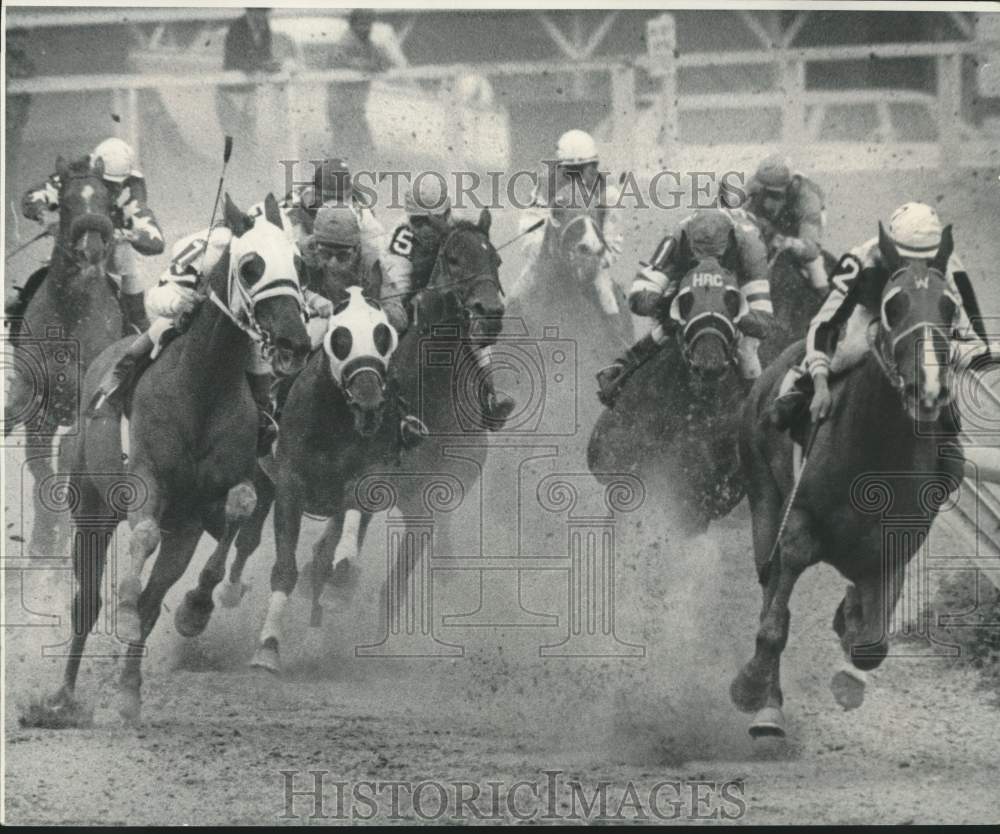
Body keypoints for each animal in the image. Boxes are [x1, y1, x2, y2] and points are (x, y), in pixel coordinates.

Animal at [4, 156, 117, 560]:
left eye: (106, 202)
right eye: (65, 203)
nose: (92, 250)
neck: (72, 315)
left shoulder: (87, 402)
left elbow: (68, 455)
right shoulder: (37, 403)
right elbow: (39, 463)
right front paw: (45, 536)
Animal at [35, 192, 310, 720]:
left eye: (299, 264)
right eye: (251, 266)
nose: (295, 342)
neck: (202, 384)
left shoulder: (209, 501)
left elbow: (240, 508)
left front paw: (195, 608)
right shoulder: (144, 478)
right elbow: (139, 541)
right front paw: (124, 610)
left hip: (178, 531)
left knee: (152, 598)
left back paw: (128, 689)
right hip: (91, 510)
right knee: (87, 602)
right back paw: (60, 698)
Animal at [736, 226, 960, 736]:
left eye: (949, 306)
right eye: (894, 304)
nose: (929, 386)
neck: (876, 453)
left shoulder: (896, 544)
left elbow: (871, 644)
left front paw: (850, 658)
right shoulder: (797, 526)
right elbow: (773, 624)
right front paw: (753, 692)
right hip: (764, 501)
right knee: (769, 594)